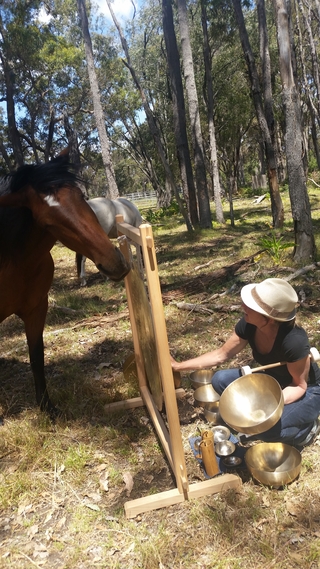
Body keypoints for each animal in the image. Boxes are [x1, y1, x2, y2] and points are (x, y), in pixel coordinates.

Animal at [0, 154, 131, 412]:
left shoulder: (37, 309)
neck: (14, 261)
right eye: (47, 220)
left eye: (81, 196)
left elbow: (37, 357)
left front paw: (47, 408)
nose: (115, 263)